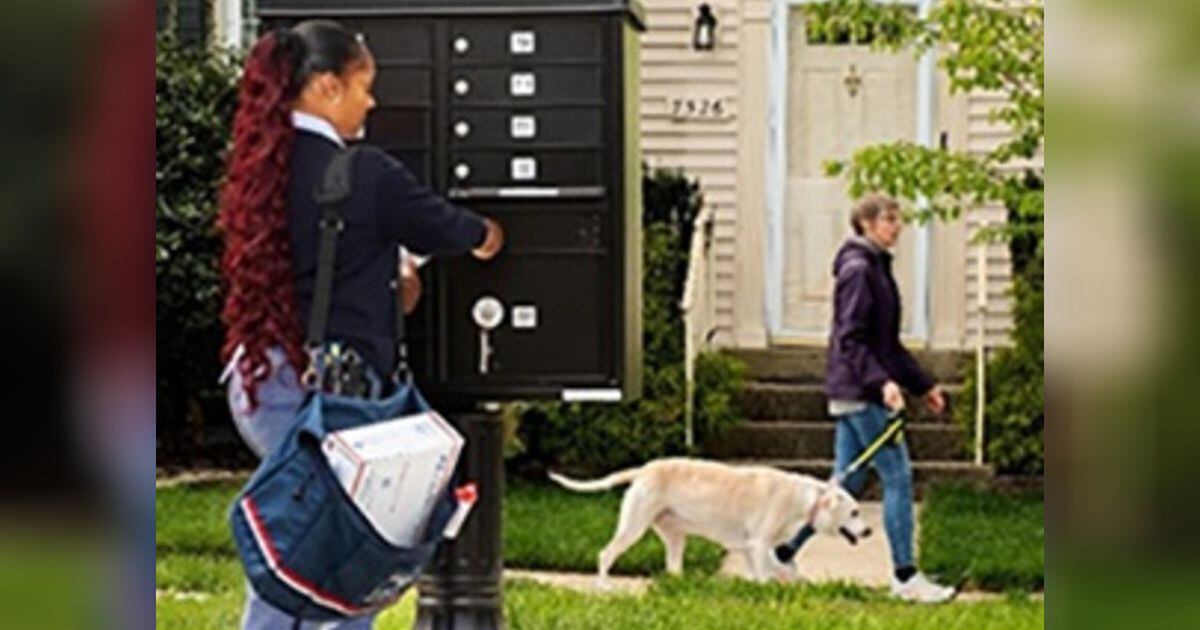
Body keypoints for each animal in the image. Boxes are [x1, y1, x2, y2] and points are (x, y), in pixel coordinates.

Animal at [549, 456, 868, 585]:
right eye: (854, 512)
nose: (868, 531)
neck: (808, 498)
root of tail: (643, 470)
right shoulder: (759, 545)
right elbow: (770, 572)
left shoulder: (751, 549)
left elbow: (777, 571)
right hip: (633, 526)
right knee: (606, 554)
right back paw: (603, 588)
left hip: (674, 536)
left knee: (673, 568)